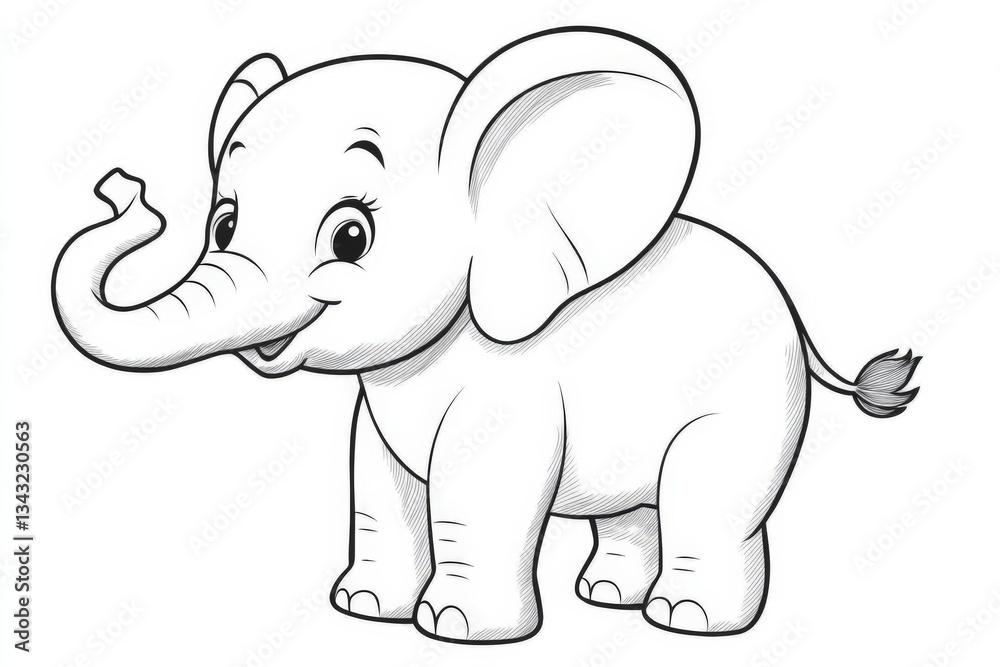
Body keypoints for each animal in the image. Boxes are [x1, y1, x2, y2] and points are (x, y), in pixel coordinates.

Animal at [52, 27, 920, 644]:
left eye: (351, 237)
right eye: (225, 224)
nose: (123, 190)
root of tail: (793, 309)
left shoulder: (510, 389)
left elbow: (478, 490)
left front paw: (455, 629)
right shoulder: (379, 412)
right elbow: (380, 486)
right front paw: (361, 605)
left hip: (749, 399)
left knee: (711, 496)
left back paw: (687, 619)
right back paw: (607, 596)